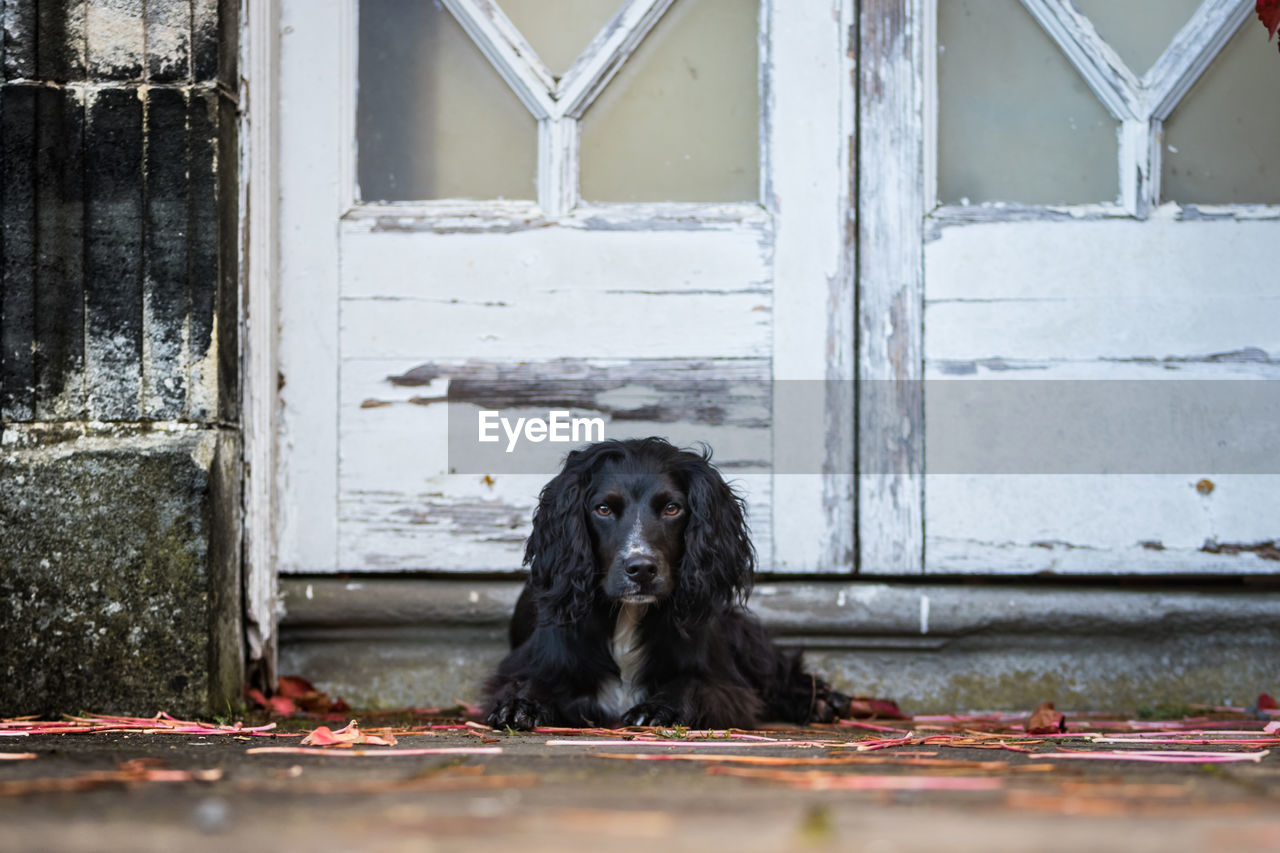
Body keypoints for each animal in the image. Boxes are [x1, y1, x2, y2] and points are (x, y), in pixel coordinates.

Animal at [483, 435, 844, 727]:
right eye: (602, 509)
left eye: (672, 508)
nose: (641, 569)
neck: (628, 614)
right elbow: (529, 681)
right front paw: (521, 704)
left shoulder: (723, 682)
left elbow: (694, 684)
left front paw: (659, 708)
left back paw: (821, 701)